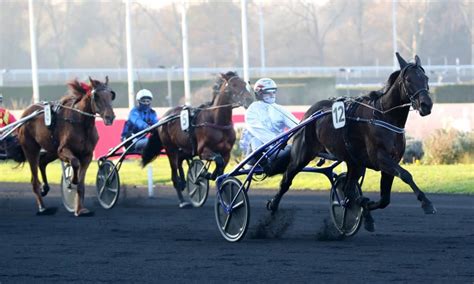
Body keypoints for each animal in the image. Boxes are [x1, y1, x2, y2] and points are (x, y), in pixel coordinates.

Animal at [18, 76, 116, 216]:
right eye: (96, 96)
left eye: (111, 95)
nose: (110, 117)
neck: (81, 123)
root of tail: (26, 113)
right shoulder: (63, 150)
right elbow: (75, 162)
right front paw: (71, 181)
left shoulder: (87, 155)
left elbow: (81, 183)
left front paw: (79, 209)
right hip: (31, 149)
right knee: (34, 179)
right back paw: (42, 207)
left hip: (51, 150)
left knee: (42, 162)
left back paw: (45, 188)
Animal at [140, 71, 252, 206]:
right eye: (234, 85)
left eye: (244, 83)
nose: (249, 99)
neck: (217, 122)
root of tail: (163, 119)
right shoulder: (203, 151)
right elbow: (218, 160)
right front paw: (205, 173)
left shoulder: (226, 153)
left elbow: (221, 169)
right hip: (170, 149)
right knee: (174, 172)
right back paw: (182, 200)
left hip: (185, 149)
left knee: (180, 160)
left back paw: (184, 182)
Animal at [266, 52, 436, 231]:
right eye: (409, 79)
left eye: (426, 78)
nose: (426, 105)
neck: (384, 116)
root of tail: (309, 113)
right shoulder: (380, 158)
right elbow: (406, 175)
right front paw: (426, 203)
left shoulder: (391, 161)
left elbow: (385, 199)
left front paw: (366, 210)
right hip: (302, 153)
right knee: (286, 179)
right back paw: (273, 205)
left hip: (355, 162)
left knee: (348, 189)